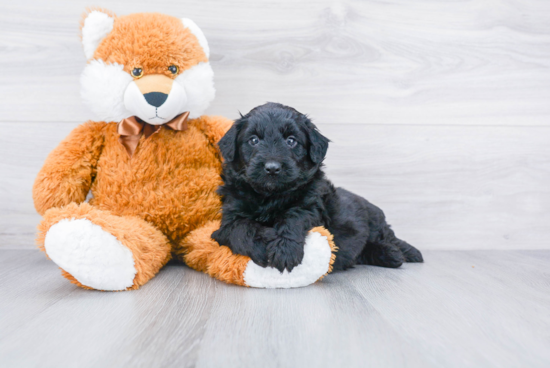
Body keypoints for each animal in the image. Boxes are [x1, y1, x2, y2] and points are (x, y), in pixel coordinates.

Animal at [213, 102, 424, 272]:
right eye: (254, 140)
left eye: (291, 141)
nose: (272, 168)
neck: (270, 196)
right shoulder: (229, 216)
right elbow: (241, 228)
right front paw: (263, 245)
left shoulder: (311, 206)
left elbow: (294, 217)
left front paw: (284, 250)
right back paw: (389, 255)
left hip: (376, 224)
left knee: (388, 238)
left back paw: (400, 253)